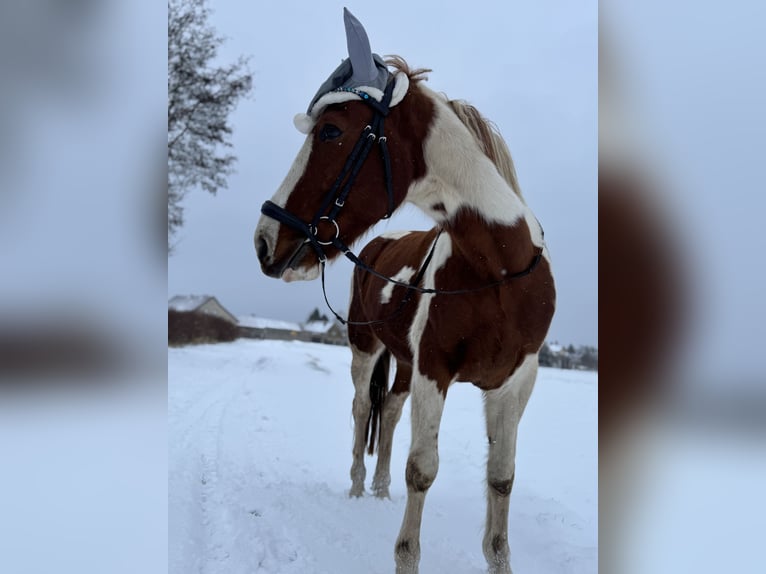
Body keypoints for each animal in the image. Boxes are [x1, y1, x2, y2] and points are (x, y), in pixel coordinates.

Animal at [254, 9, 555, 574]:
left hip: (403, 362)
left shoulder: (516, 381)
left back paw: (378, 487)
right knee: (360, 410)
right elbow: (423, 470)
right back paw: (357, 486)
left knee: (389, 410)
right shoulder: (434, 369)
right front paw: (405, 552)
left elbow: (501, 480)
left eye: (331, 130)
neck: (500, 272)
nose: (264, 240)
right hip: (366, 349)